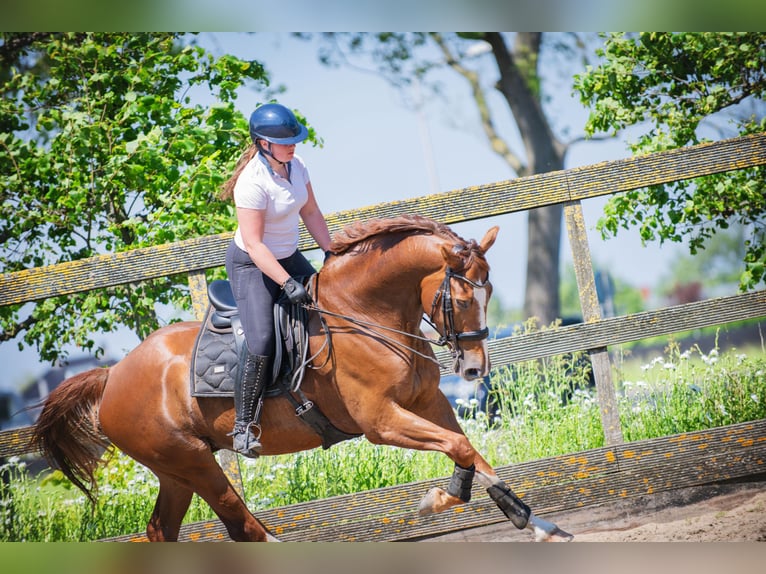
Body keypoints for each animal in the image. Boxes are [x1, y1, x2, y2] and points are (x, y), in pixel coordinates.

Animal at [33, 216, 572, 544]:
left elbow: (473, 452)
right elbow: (460, 450)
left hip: (176, 471)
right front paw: (439, 499)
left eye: (490, 292)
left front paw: (533, 521)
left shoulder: (428, 403)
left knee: (161, 532)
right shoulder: (382, 422)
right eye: (461, 299)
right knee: (243, 528)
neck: (366, 316)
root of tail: (113, 375)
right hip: (192, 462)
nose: (475, 369)